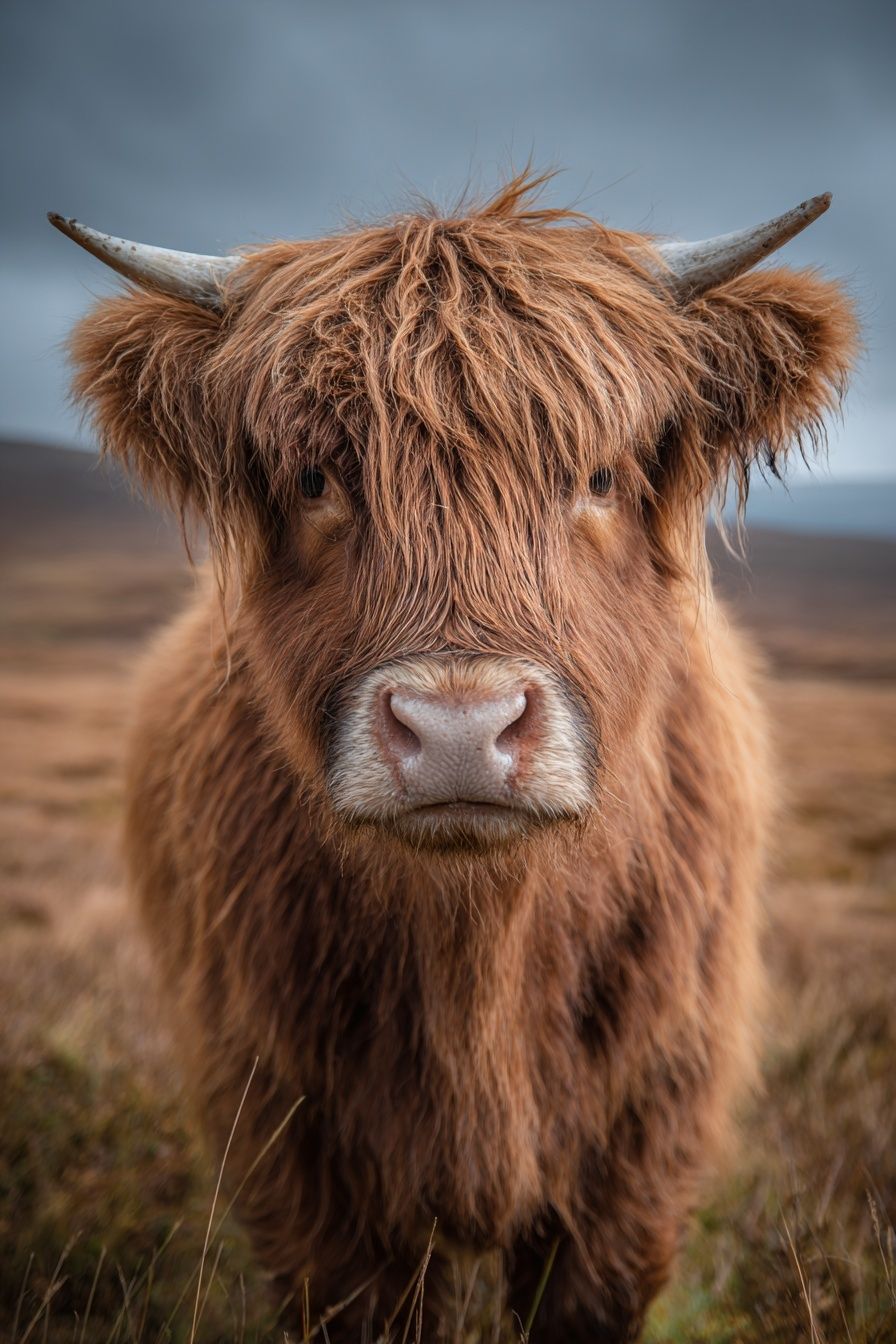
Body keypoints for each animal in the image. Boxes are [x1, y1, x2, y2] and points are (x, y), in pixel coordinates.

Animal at [52, 173, 856, 1341]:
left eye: (599, 475)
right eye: (315, 477)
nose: (460, 732)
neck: (479, 948)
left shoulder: (644, 1138)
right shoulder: (296, 1148)